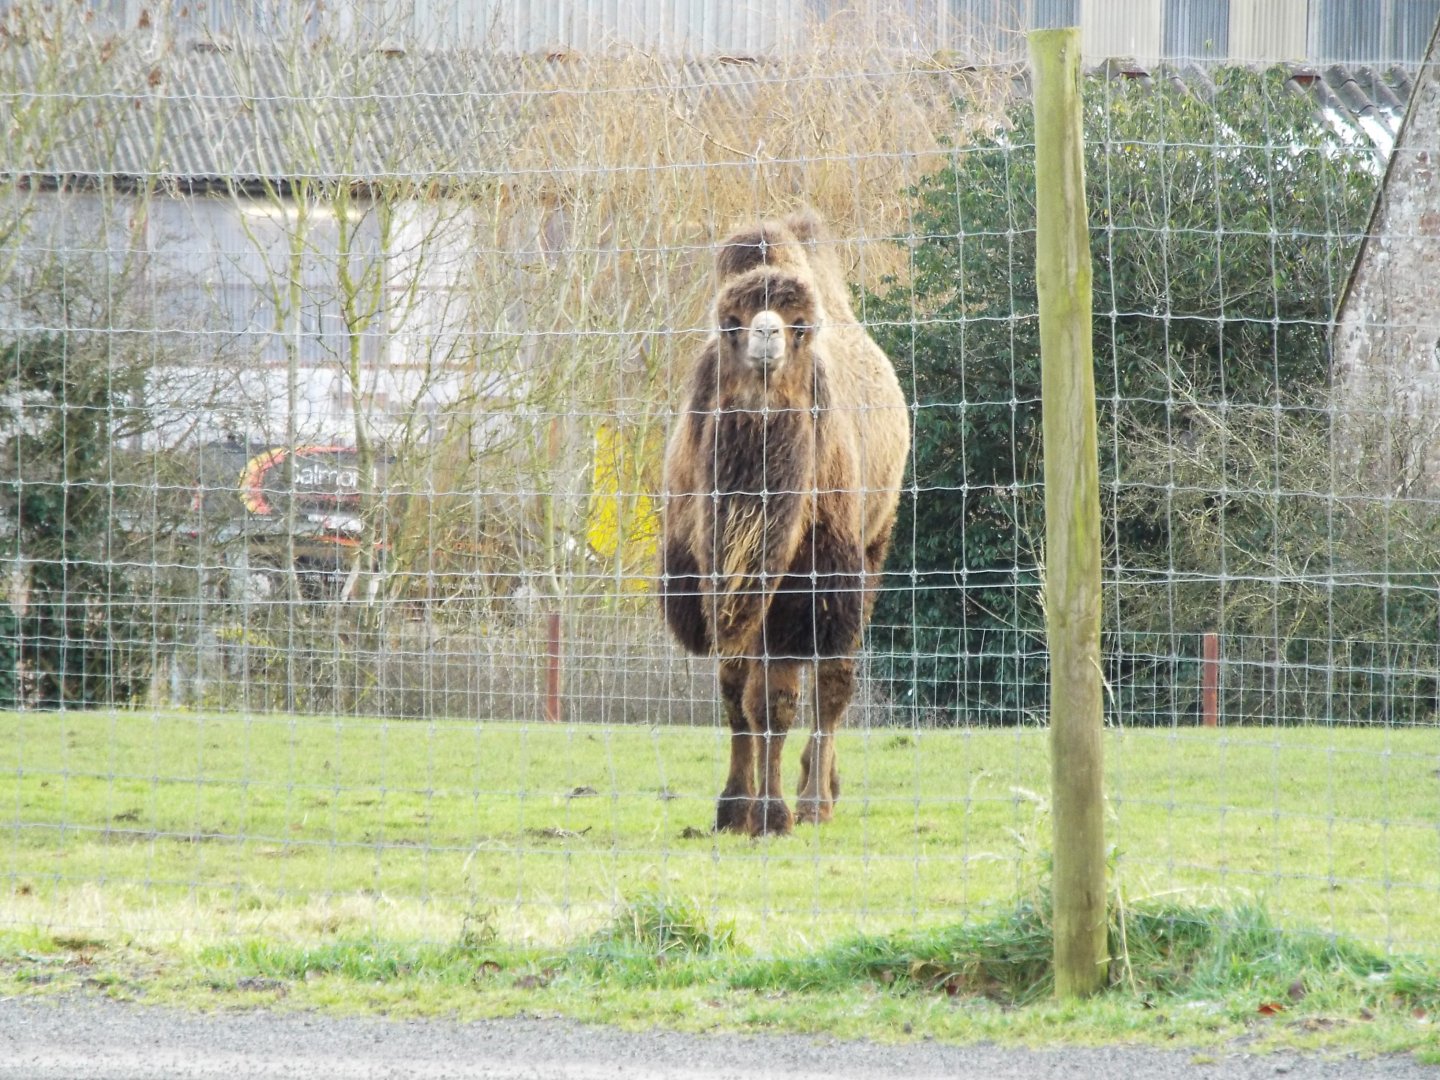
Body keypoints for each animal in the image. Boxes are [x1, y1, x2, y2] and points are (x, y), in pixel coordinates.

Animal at [659, 208, 909, 836]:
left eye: (799, 328)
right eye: (731, 324)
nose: (766, 337)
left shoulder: (802, 581)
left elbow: (774, 699)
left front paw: (771, 815)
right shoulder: (717, 576)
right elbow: (733, 693)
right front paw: (732, 808)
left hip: (871, 543)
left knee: (833, 683)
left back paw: (816, 800)